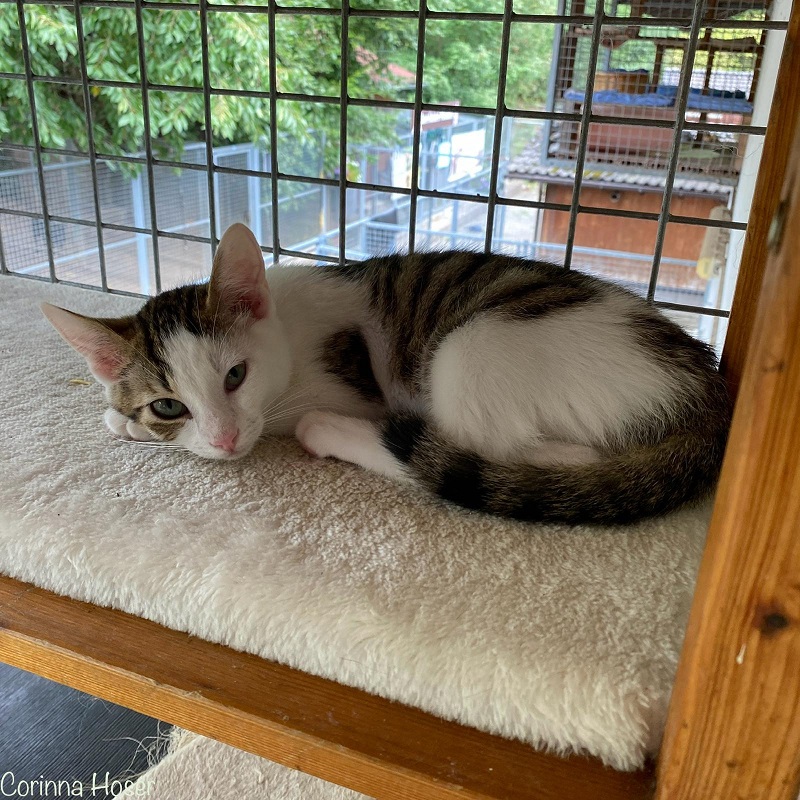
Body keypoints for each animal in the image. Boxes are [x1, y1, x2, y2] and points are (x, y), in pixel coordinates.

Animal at [42, 222, 731, 525]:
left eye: (236, 375)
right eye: (169, 405)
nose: (224, 439)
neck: (286, 327)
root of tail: (710, 386)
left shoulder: (346, 384)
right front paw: (121, 416)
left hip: (472, 346)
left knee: (493, 454)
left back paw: (333, 433)